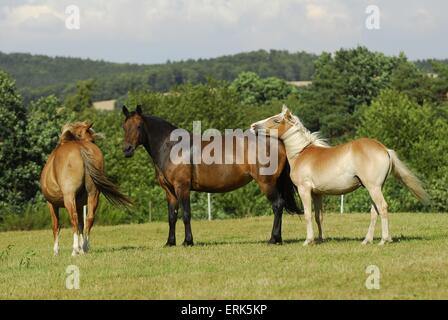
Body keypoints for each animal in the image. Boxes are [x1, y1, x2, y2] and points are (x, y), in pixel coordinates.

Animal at [39, 121, 131, 256]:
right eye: (92, 140)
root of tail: (80, 147)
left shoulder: (51, 204)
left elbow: (56, 226)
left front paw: (56, 251)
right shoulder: (80, 204)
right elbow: (82, 226)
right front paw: (82, 248)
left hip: (69, 197)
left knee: (74, 219)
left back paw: (75, 250)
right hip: (94, 194)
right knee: (89, 218)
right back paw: (85, 247)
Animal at [121, 105, 300, 245]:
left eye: (139, 126)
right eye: (124, 127)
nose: (127, 149)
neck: (172, 147)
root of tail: (277, 141)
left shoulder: (182, 187)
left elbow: (186, 214)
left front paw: (188, 241)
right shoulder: (169, 191)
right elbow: (172, 216)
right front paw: (170, 242)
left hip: (266, 183)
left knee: (277, 205)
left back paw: (273, 239)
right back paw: (277, 239)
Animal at [250, 106, 428, 246]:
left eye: (276, 120)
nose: (253, 126)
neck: (301, 153)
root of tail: (384, 149)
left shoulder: (304, 190)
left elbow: (307, 214)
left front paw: (309, 241)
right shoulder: (317, 194)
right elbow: (318, 216)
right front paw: (321, 239)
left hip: (374, 188)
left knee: (383, 208)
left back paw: (384, 240)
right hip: (374, 188)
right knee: (374, 212)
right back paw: (367, 240)